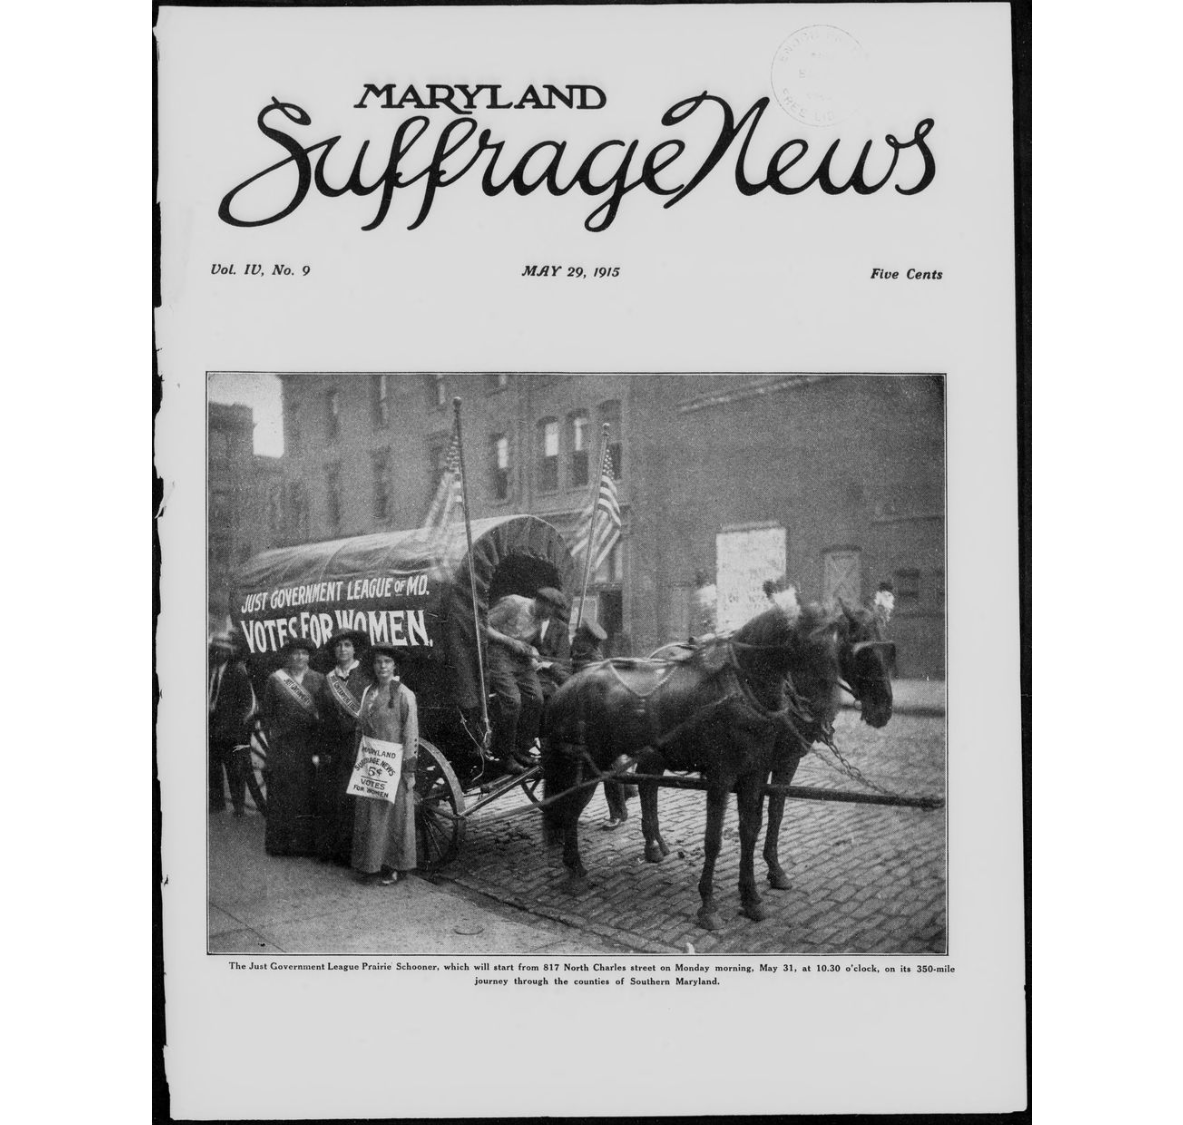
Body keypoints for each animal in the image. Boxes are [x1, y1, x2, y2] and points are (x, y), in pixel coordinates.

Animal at [541, 603, 889, 927]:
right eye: (856, 648)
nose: (884, 708)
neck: (742, 690)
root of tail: (567, 685)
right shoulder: (723, 776)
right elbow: (714, 839)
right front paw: (708, 905)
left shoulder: (757, 773)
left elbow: (754, 828)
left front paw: (752, 897)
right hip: (586, 764)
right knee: (571, 807)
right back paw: (576, 871)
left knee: (640, 787)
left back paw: (649, 847)